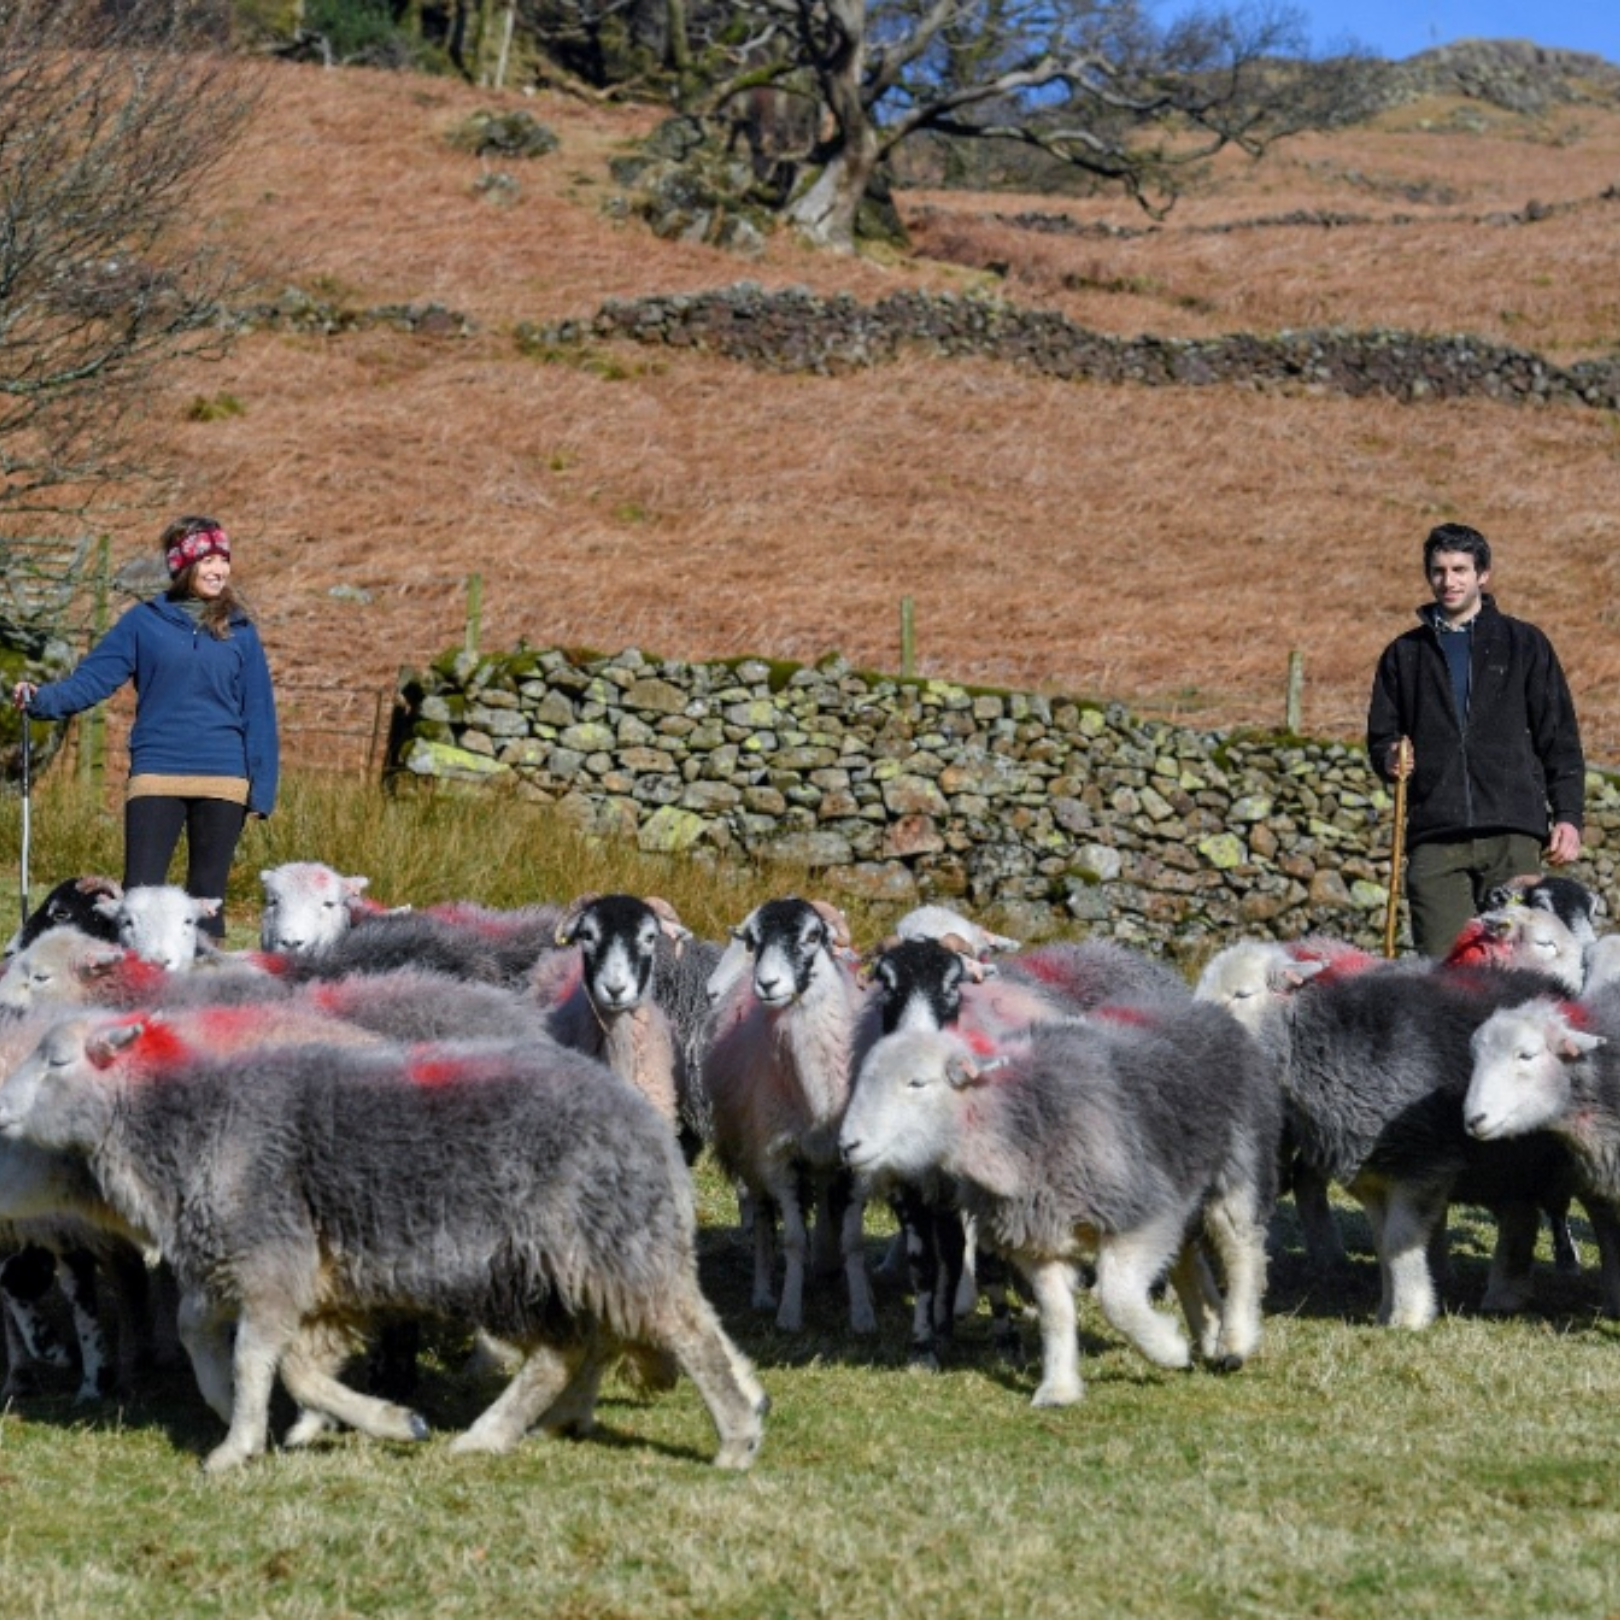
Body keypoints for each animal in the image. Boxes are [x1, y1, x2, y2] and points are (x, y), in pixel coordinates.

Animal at [0, 1017, 767, 1477]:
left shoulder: (271, 1259)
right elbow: (263, 1356)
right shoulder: (277, 1270)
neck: (188, 1124)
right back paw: (521, 1429)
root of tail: (648, 1124)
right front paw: (343, 1421)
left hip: (586, 1247)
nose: (2, 1107)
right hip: (573, 1259)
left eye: (57, 1059)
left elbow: (257, 1359)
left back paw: (733, 1437)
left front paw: (237, 1443)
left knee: (677, 1332)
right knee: (583, 1346)